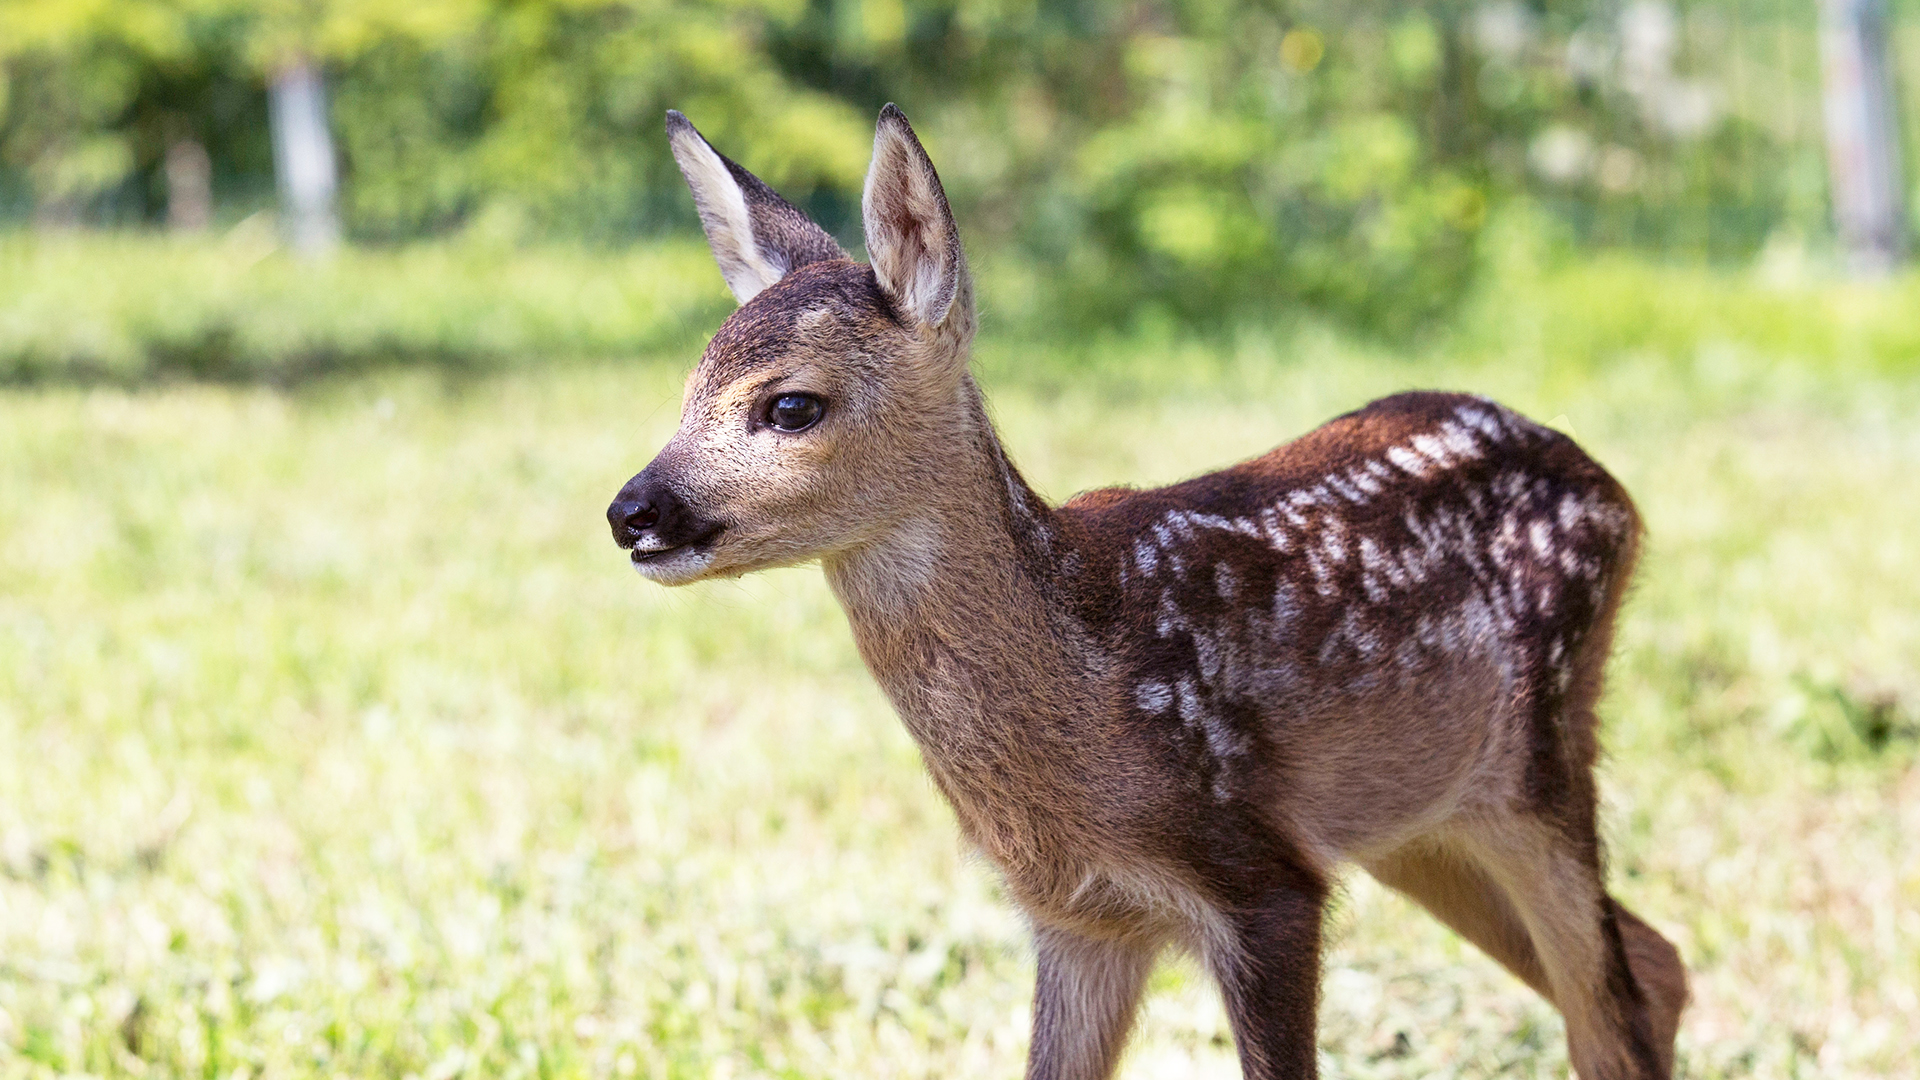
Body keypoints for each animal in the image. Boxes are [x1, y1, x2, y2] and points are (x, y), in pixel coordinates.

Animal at [610, 105, 1681, 1068]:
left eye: (791, 405)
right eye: (685, 393)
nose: (631, 512)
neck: (1089, 686)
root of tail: (1613, 488)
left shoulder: (1263, 882)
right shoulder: (1080, 918)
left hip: (1538, 756)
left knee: (1613, 1007)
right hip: (1420, 819)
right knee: (1655, 966)